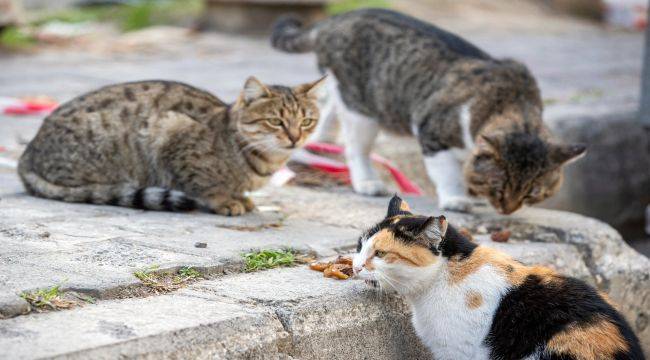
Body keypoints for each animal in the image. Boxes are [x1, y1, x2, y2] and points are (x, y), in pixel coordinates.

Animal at [19, 77, 322, 215]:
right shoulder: (173, 132)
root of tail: (27, 154)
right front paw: (225, 201)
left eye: (306, 121)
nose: (295, 137)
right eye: (275, 121)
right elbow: (205, 185)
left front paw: (242, 198)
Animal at [270, 8, 584, 214]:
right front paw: (457, 197)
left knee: (329, 107)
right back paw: (367, 181)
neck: (513, 103)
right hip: (361, 108)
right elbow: (448, 173)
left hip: (346, 94)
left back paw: (320, 140)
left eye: (532, 192)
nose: (507, 210)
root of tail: (335, 20)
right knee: (355, 146)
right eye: (500, 186)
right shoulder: (433, 133)